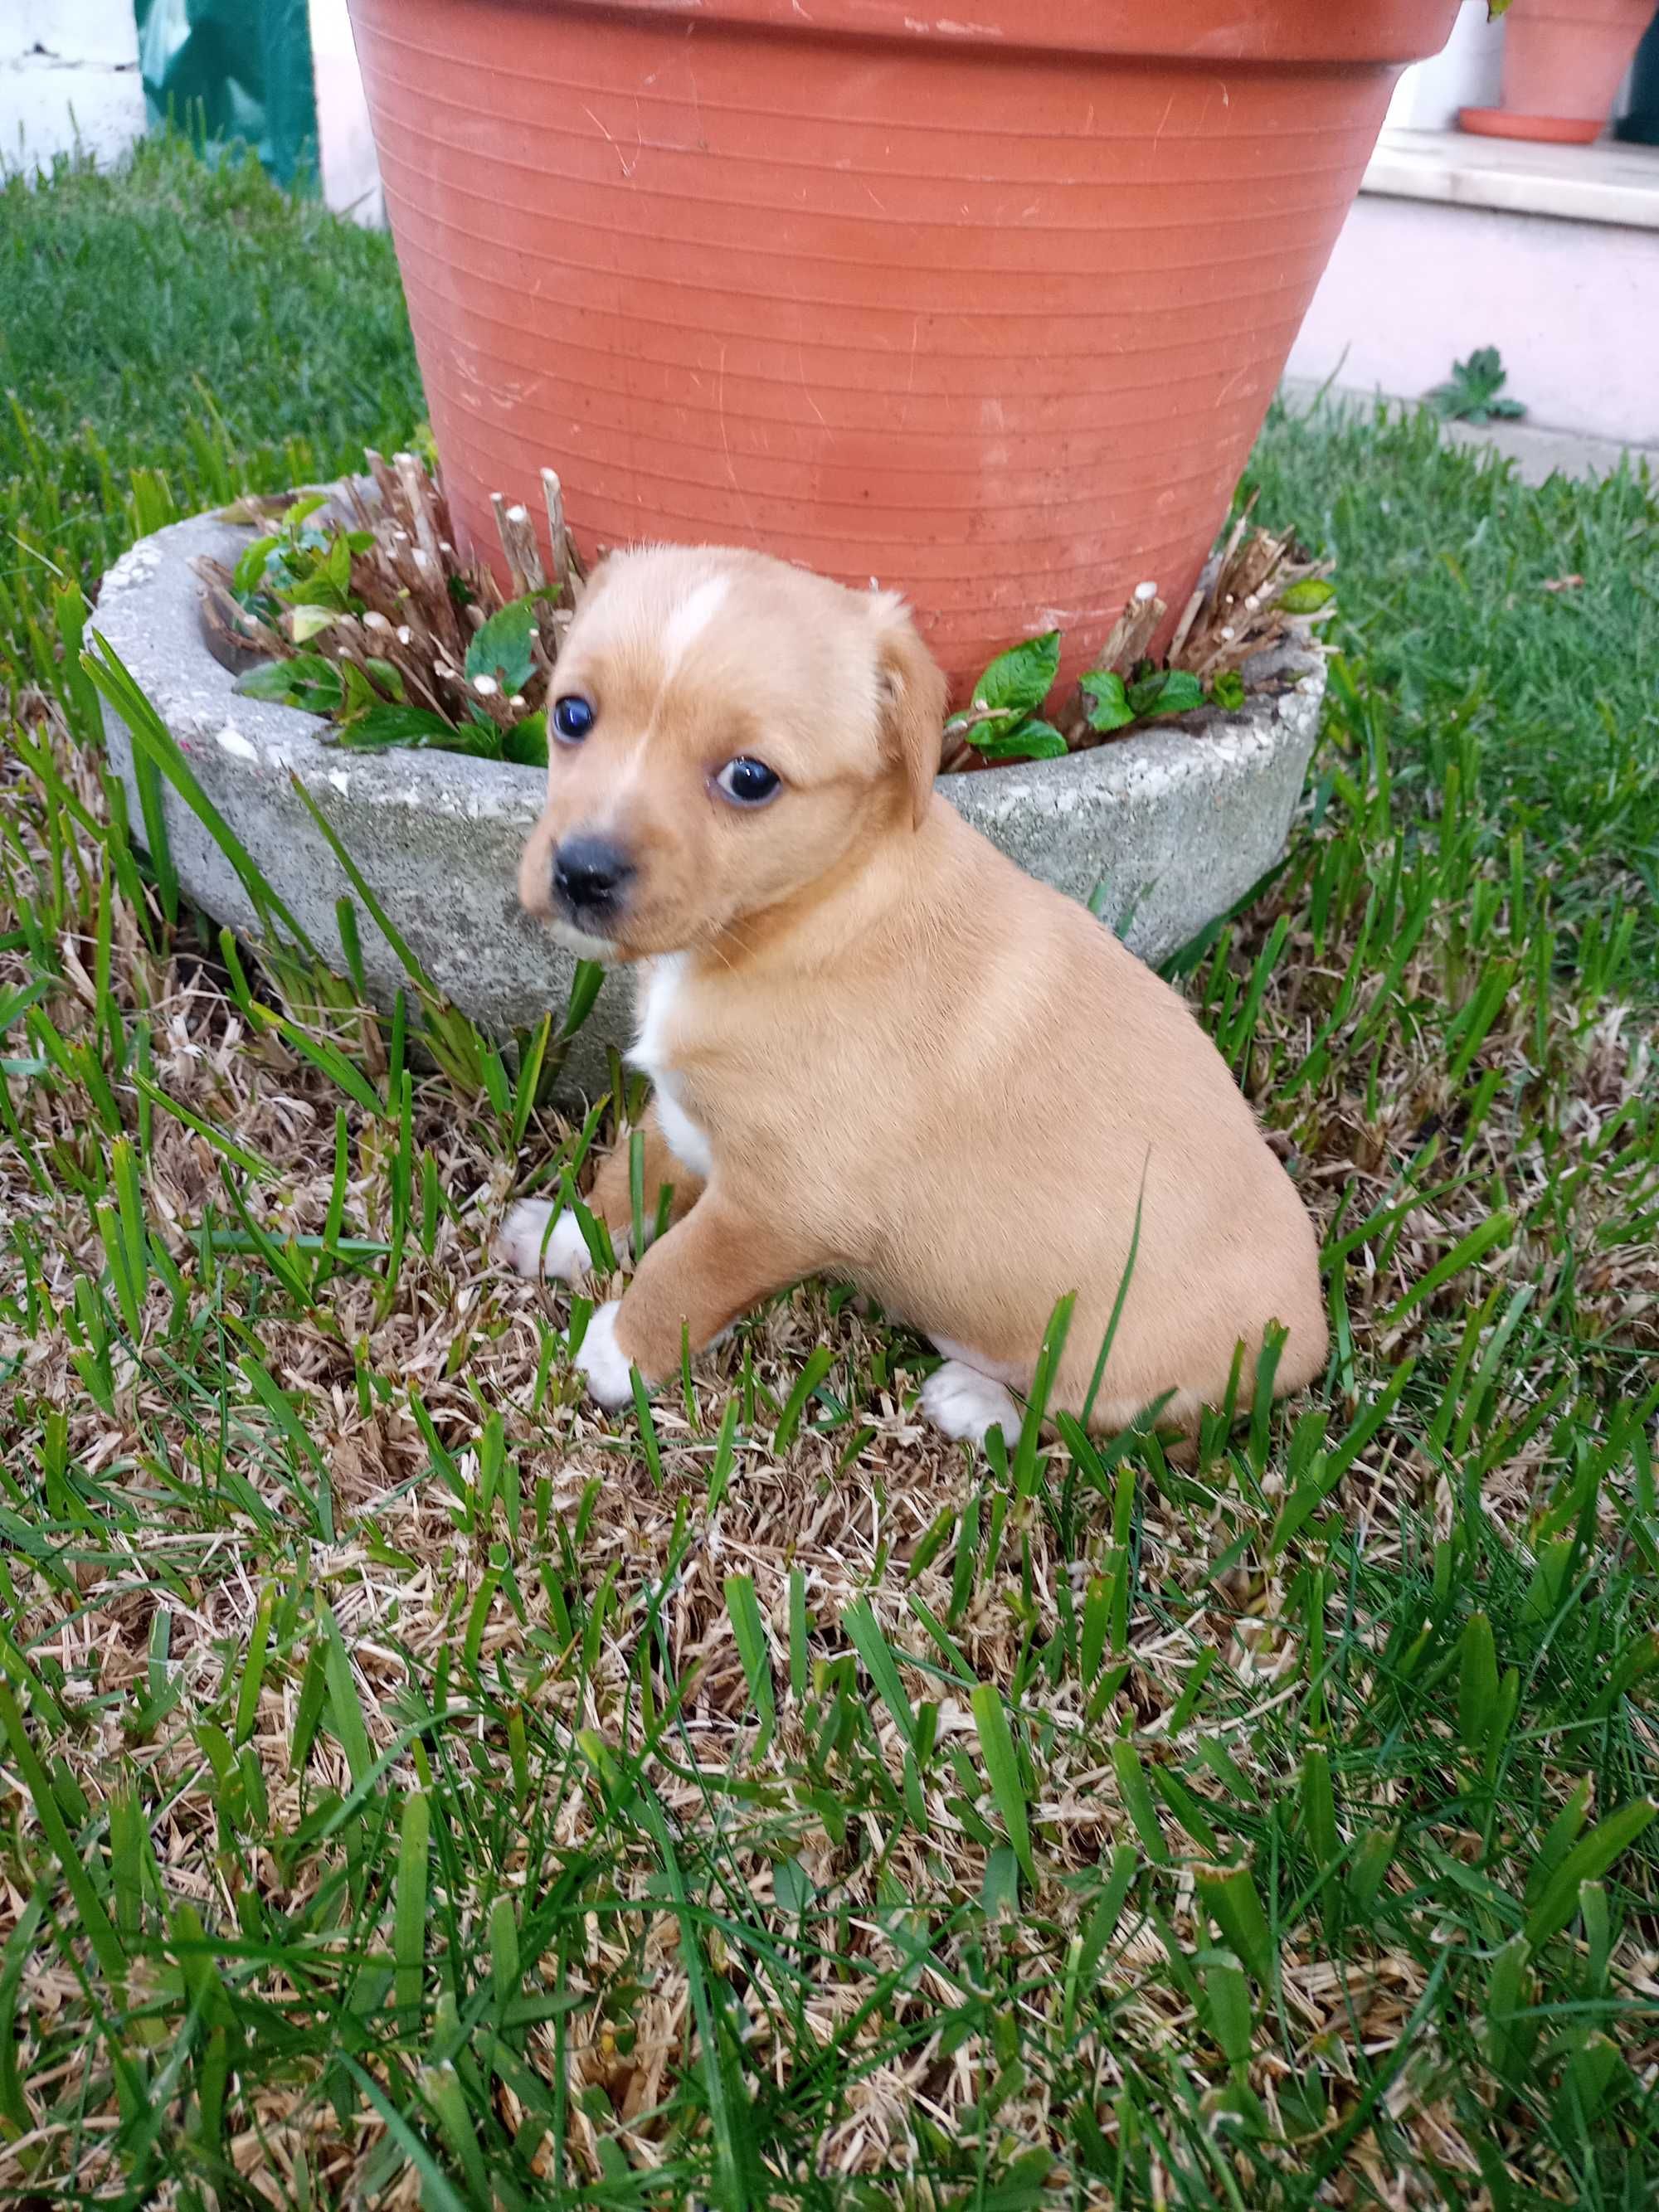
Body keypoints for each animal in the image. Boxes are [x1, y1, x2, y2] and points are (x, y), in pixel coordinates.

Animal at [499, 544, 1335, 1441]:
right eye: (572, 715)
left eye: (750, 778)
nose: (581, 872)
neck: (813, 911)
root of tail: (1312, 1337)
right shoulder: (684, 1114)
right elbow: (629, 1172)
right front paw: (563, 1236)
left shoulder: (780, 1207)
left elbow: (683, 1271)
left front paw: (618, 1351)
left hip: (1129, 1376)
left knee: (1079, 1422)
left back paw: (977, 1402)